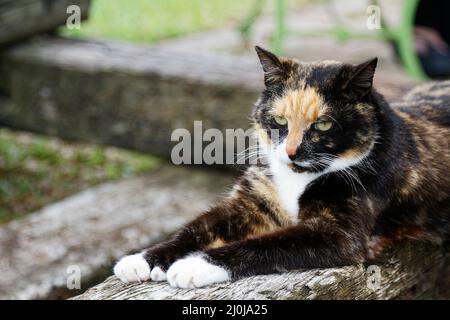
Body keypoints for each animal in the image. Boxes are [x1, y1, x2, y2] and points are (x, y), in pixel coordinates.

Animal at [113, 46, 450, 288]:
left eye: (324, 124)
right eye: (278, 120)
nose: (290, 151)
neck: (297, 178)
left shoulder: (338, 235)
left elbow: (268, 244)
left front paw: (196, 265)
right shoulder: (252, 202)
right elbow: (197, 227)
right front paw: (145, 259)